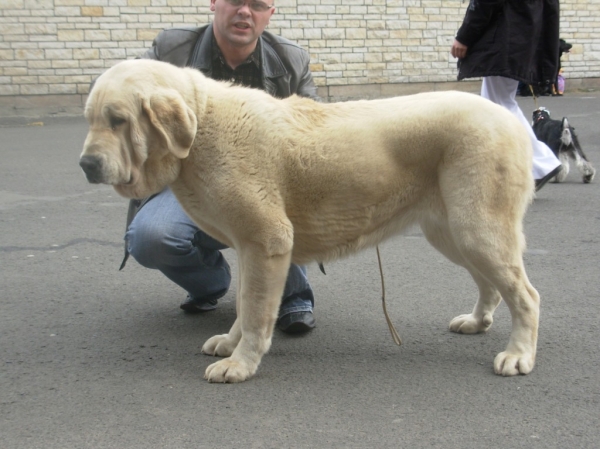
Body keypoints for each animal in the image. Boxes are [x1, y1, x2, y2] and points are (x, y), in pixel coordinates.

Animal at [78, 58, 540, 382]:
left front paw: (241, 364)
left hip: (476, 227)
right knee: (490, 283)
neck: (201, 124)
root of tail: (509, 118)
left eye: (118, 120)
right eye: (91, 119)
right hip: (452, 231)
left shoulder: (267, 241)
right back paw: (477, 322)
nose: (86, 164)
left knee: (526, 295)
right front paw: (230, 343)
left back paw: (519, 355)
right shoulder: (248, 247)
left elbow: (256, 310)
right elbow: (243, 303)